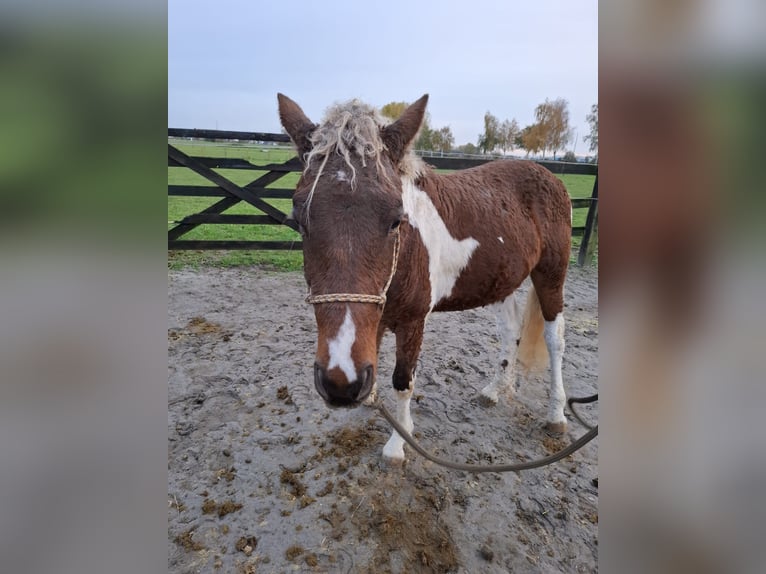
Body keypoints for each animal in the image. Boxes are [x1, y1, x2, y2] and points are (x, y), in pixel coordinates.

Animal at [278, 93, 572, 461]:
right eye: (298, 220)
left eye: (395, 220)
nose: (340, 384)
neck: (405, 253)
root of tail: (549, 175)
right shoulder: (373, 321)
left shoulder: (413, 321)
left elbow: (403, 380)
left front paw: (397, 444)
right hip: (503, 281)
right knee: (510, 330)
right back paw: (494, 390)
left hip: (551, 275)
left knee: (555, 338)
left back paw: (556, 414)